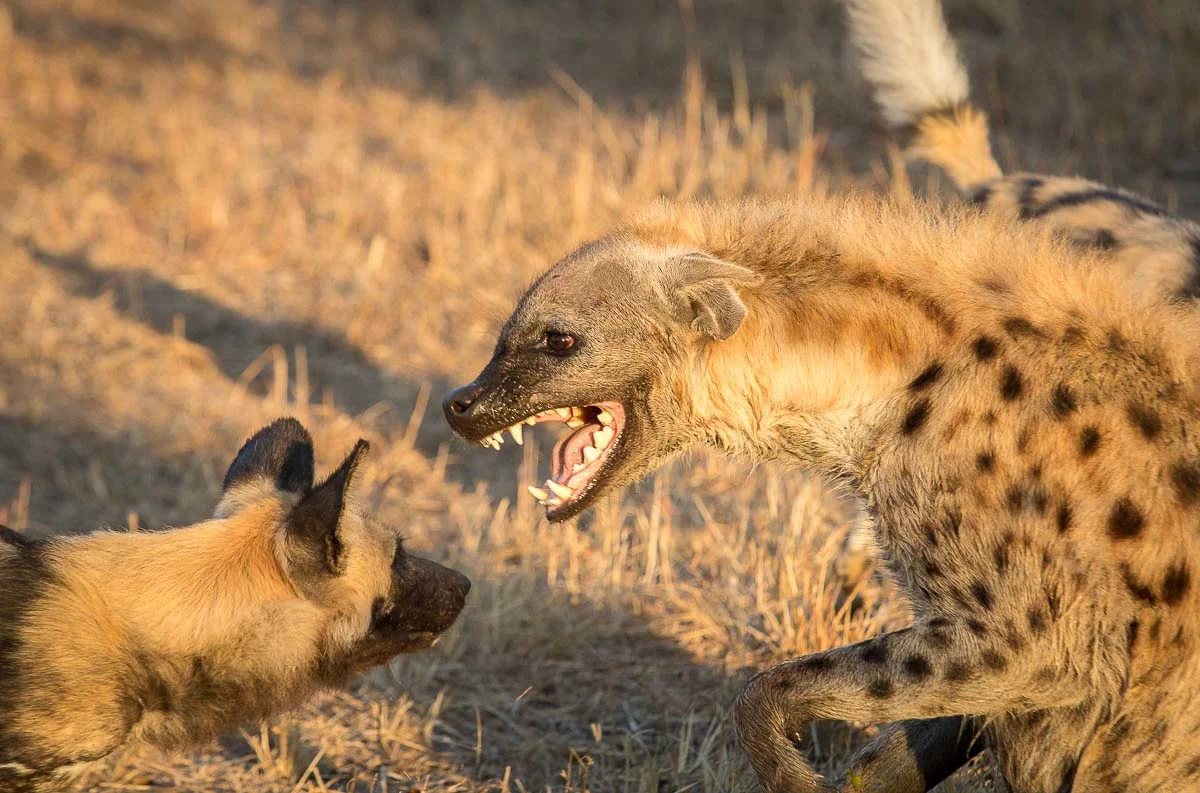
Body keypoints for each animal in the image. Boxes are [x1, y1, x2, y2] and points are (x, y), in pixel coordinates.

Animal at [446, 193, 1200, 791]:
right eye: (503, 336)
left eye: (558, 339)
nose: (459, 404)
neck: (893, 386)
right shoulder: (981, 644)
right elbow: (913, 736)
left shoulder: (1037, 635)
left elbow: (770, 687)